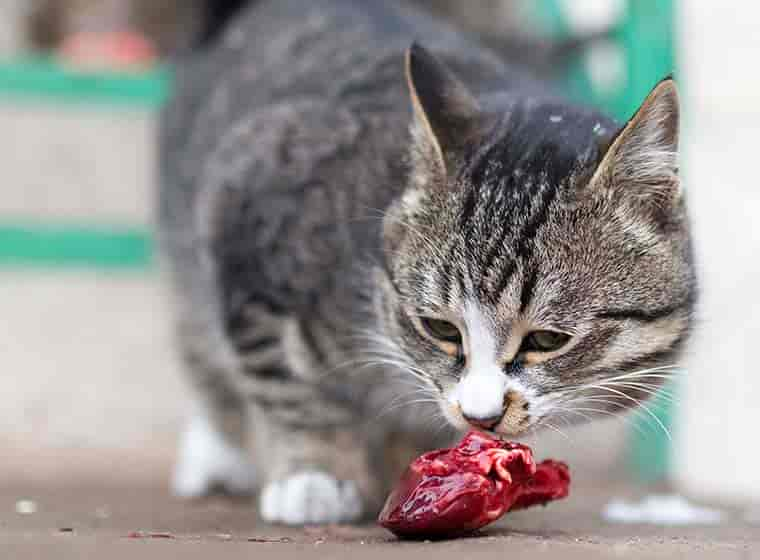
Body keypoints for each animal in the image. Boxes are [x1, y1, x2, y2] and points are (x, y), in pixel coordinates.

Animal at [159, 0, 696, 524]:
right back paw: (218, 454)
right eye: (440, 328)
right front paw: (315, 474)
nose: (481, 417)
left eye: (546, 340)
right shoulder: (245, 216)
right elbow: (286, 381)